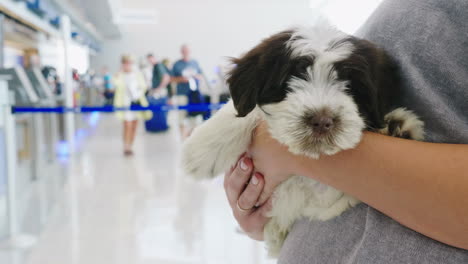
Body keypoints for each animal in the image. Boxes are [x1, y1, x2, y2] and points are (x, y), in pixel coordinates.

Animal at [182, 21, 424, 256]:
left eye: (350, 84)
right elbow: (251, 112)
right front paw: (202, 151)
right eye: (291, 78)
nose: (322, 121)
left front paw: (395, 125)